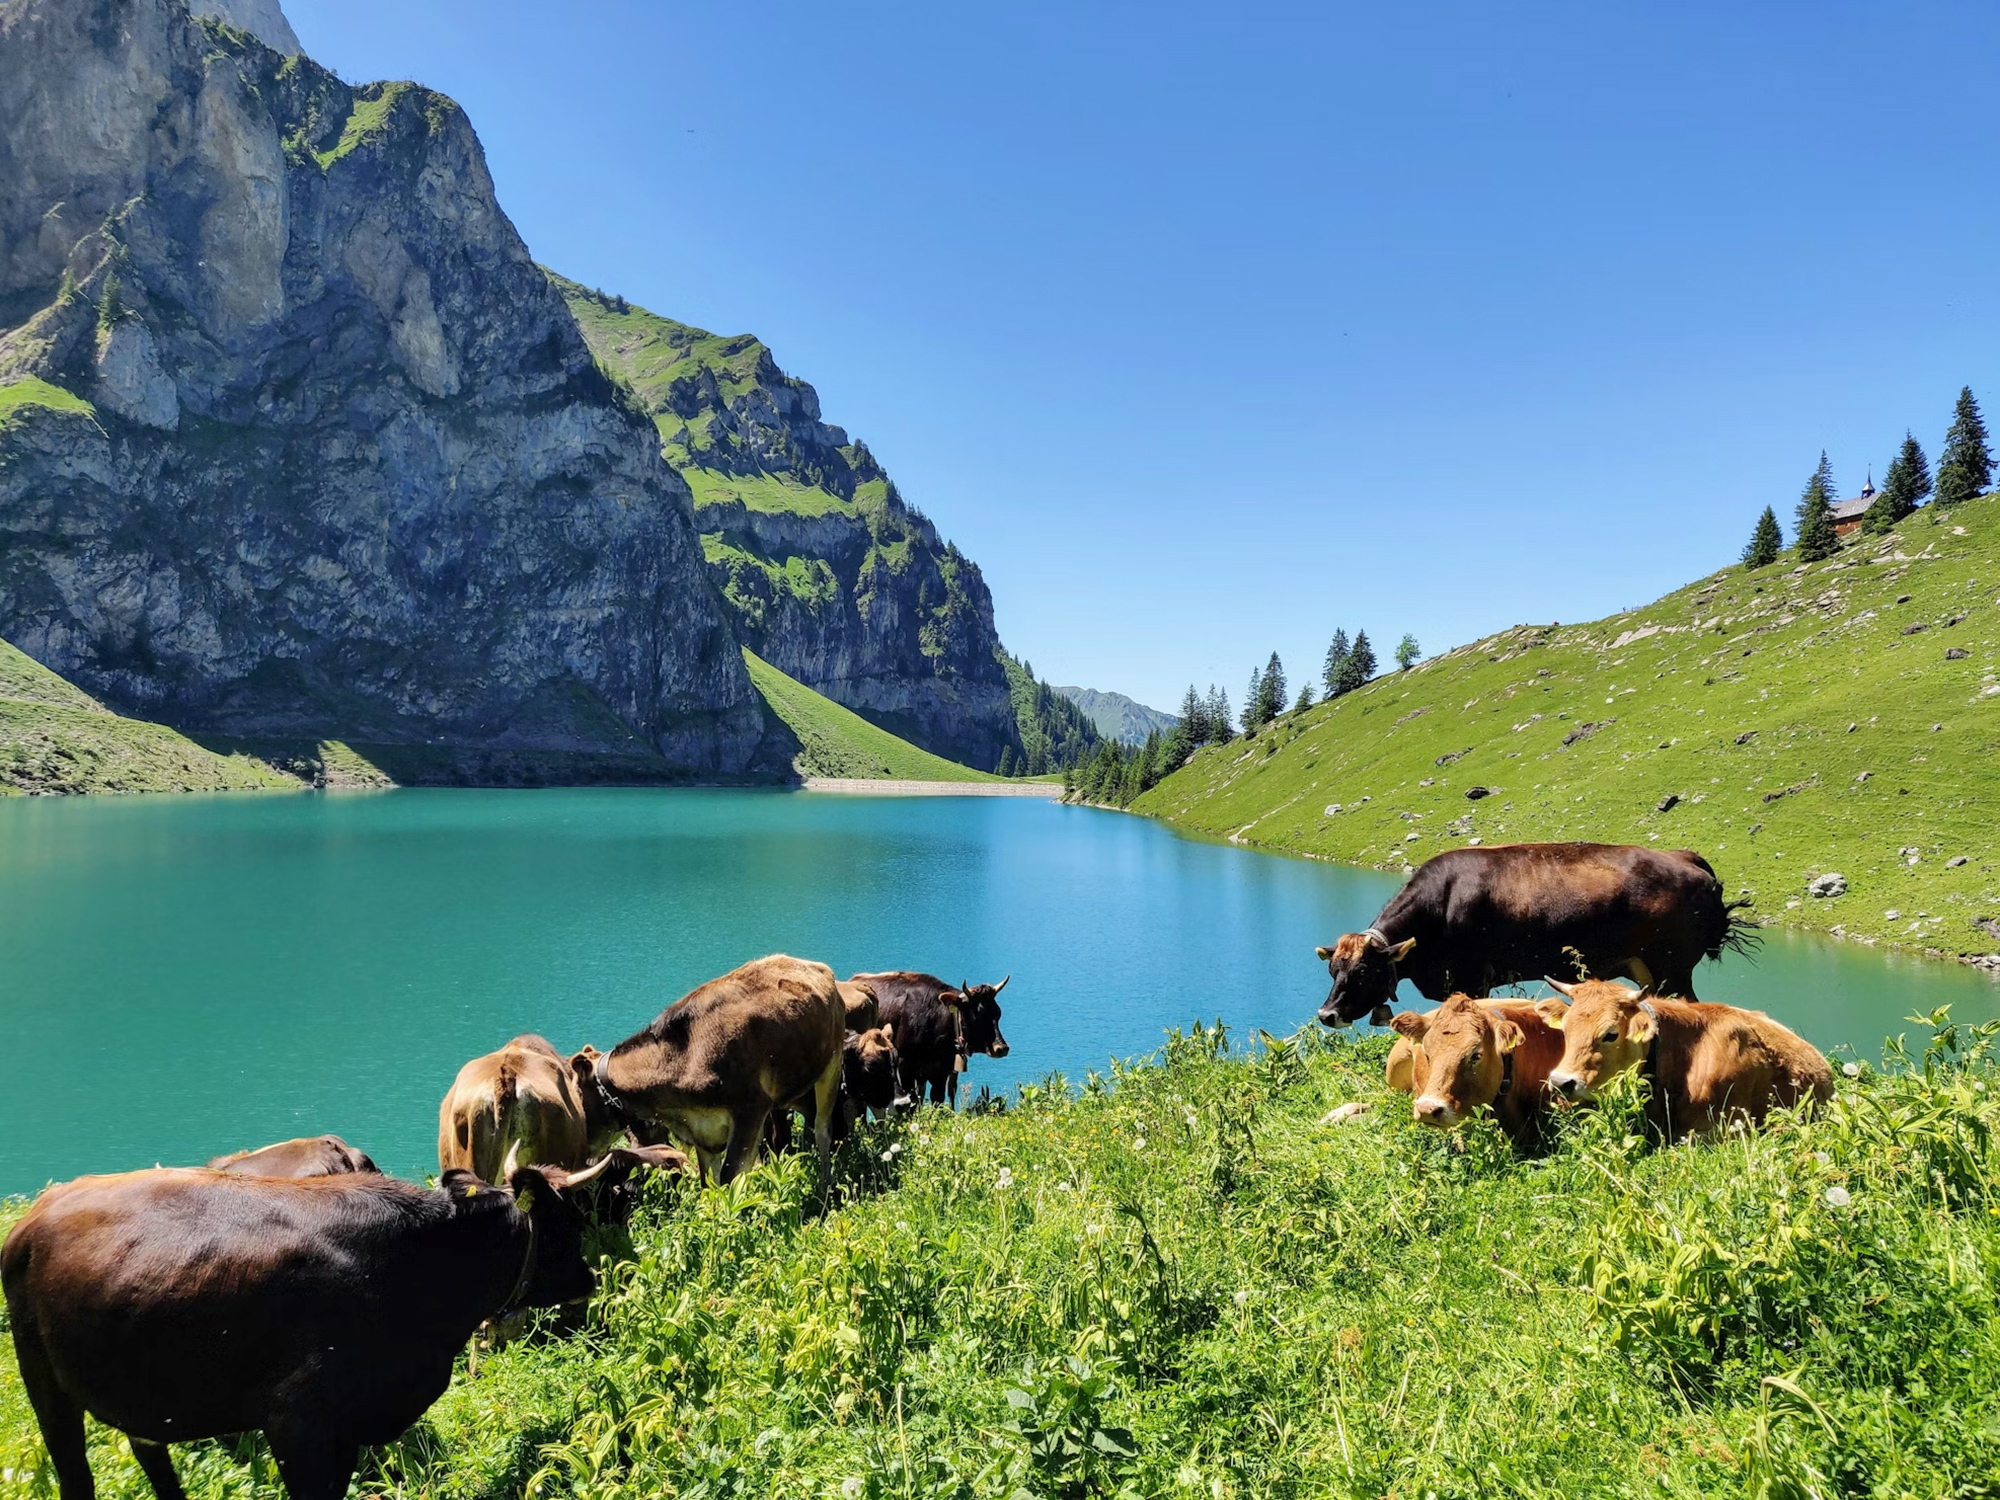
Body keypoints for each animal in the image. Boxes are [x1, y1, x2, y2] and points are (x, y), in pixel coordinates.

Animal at [2, 1162, 593, 1500]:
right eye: (570, 1221)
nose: (590, 1277)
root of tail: (36, 1213)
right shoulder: (294, 1420)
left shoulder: (350, 1422)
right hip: (41, 1379)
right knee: (75, 1474)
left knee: (152, 1455)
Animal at [595, 954, 845, 1186]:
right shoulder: (704, 1134)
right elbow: (710, 1182)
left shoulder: (750, 1110)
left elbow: (729, 1177)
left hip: (832, 1066)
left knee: (822, 1129)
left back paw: (826, 1184)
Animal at [851, 971, 1011, 1107]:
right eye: (977, 1015)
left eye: (998, 1013)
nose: (1001, 1048)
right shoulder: (904, 1065)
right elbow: (911, 1100)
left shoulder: (941, 1069)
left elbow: (936, 1099)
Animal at [1315, 842, 1757, 1026]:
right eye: (1333, 970)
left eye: (1364, 972)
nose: (1326, 1014)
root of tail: (1683, 858)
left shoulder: (1473, 978)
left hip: (1673, 968)